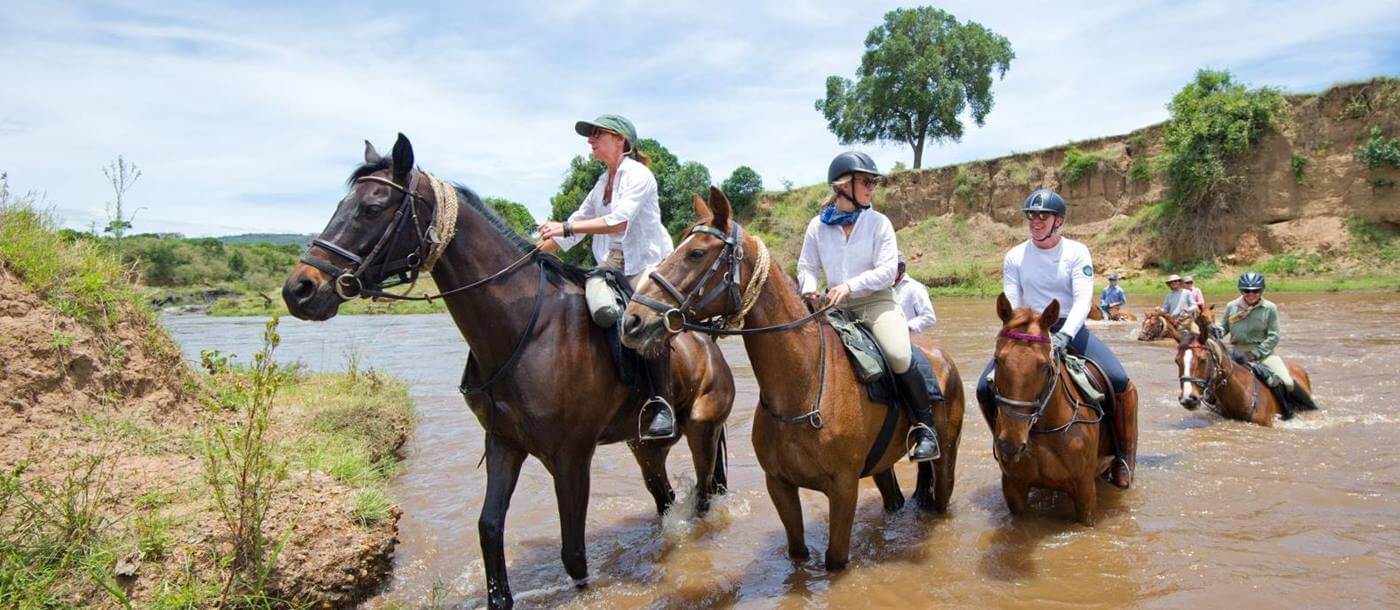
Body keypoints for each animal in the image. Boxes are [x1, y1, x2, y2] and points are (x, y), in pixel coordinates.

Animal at [285, 134, 744, 610]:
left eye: (373, 207)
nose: (300, 290)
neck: (527, 330)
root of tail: (708, 340)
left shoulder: (571, 457)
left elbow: (574, 554)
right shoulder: (503, 442)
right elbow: (489, 528)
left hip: (702, 431)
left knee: (704, 495)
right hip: (645, 447)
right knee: (666, 498)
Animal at [621, 188, 963, 570]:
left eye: (696, 253)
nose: (633, 320)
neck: (803, 385)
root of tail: (942, 356)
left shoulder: (844, 490)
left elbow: (835, 560)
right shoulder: (779, 485)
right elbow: (797, 553)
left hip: (946, 456)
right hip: (882, 465)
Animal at [980, 293, 1131, 523]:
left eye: (1044, 366)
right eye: (997, 360)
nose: (1010, 445)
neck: (1045, 428)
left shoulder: (1085, 488)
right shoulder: (1013, 486)